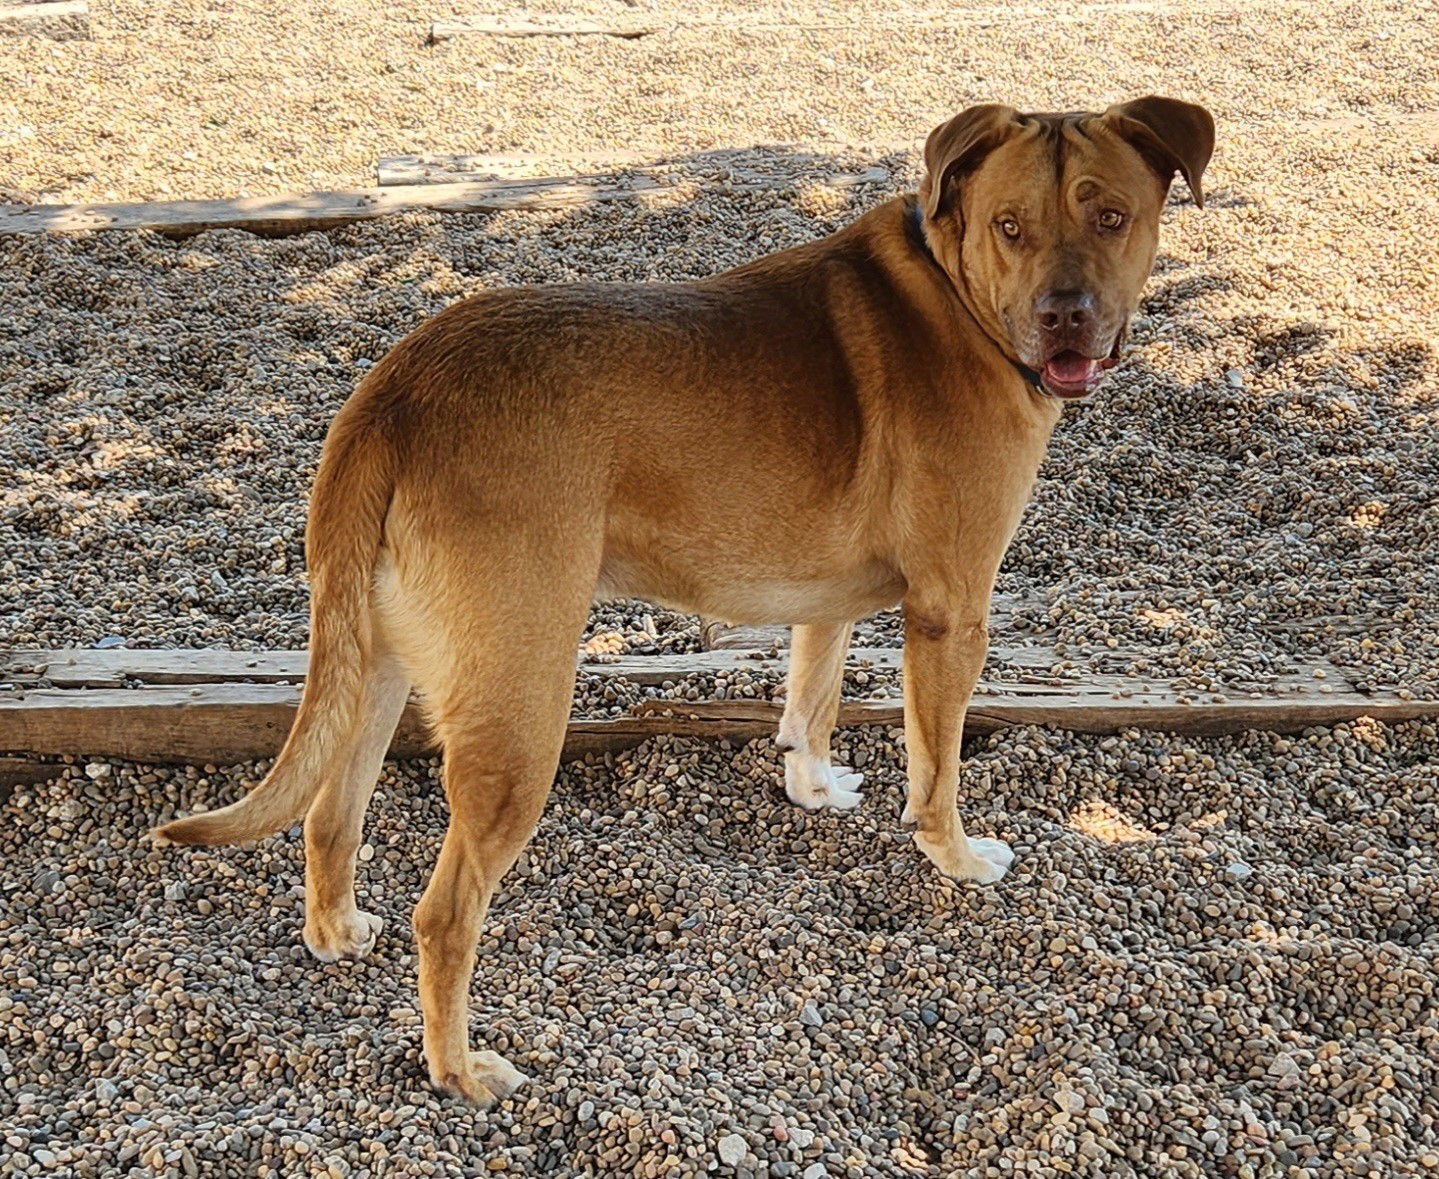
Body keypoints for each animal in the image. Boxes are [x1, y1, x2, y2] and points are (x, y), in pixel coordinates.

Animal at [154, 99, 1214, 1105]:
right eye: (1009, 226)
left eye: (1110, 216)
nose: (1066, 317)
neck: (956, 292)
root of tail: (393, 390)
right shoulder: (952, 610)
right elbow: (936, 770)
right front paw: (953, 857)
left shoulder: (826, 598)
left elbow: (813, 696)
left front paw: (811, 786)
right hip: (519, 711)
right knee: (445, 913)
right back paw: (458, 1069)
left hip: (379, 664)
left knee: (330, 815)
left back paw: (334, 931)